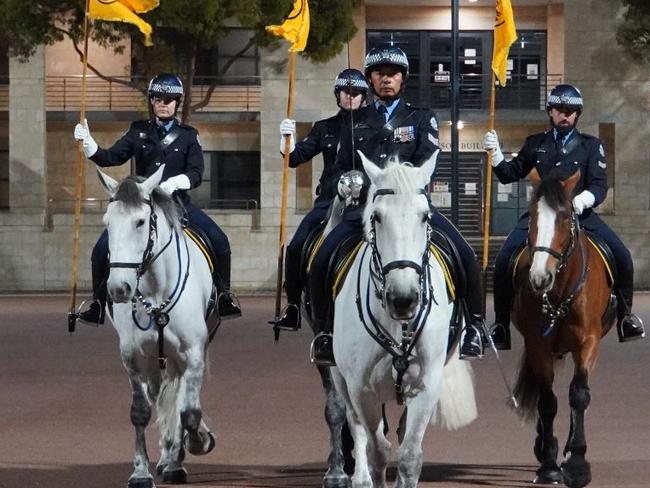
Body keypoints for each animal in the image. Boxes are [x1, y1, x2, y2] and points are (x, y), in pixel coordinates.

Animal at [97, 166, 216, 486]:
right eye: (107, 223)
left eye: (140, 221)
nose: (119, 289)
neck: (156, 291)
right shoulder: (133, 358)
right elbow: (140, 412)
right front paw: (140, 472)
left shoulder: (193, 354)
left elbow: (189, 411)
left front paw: (198, 441)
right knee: (161, 397)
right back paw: (167, 456)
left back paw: (176, 456)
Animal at [330, 153, 476, 488]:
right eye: (377, 217)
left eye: (425, 216)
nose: (403, 298)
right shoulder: (362, 389)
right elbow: (376, 450)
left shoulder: (426, 385)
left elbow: (409, 456)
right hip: (337, 375)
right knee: (354, 423)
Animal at [508, 169, 616, 488]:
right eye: (532, 215)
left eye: (566, 215)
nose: (539, 277)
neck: (559, 291)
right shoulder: (538, 344)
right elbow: (547, 401)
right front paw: (548, 464)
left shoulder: (589, 342)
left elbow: (578, 395)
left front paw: (577, 462)